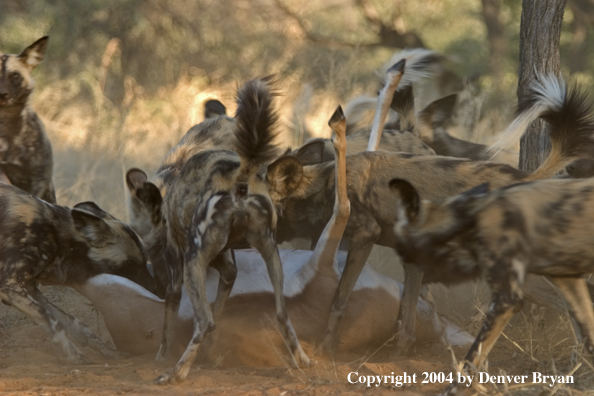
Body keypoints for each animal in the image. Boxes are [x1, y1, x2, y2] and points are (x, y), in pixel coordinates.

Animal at [148, 77, 308, 384]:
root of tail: (242, 175)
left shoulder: (177, 263)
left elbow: (170, 318)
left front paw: (162, 355)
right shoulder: (228, 266)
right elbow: (220, 307)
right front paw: (210, 352)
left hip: (193, 261)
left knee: (204, 322)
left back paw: (175, 373)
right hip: (271, 254)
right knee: (281, 314)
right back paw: (302, 361)